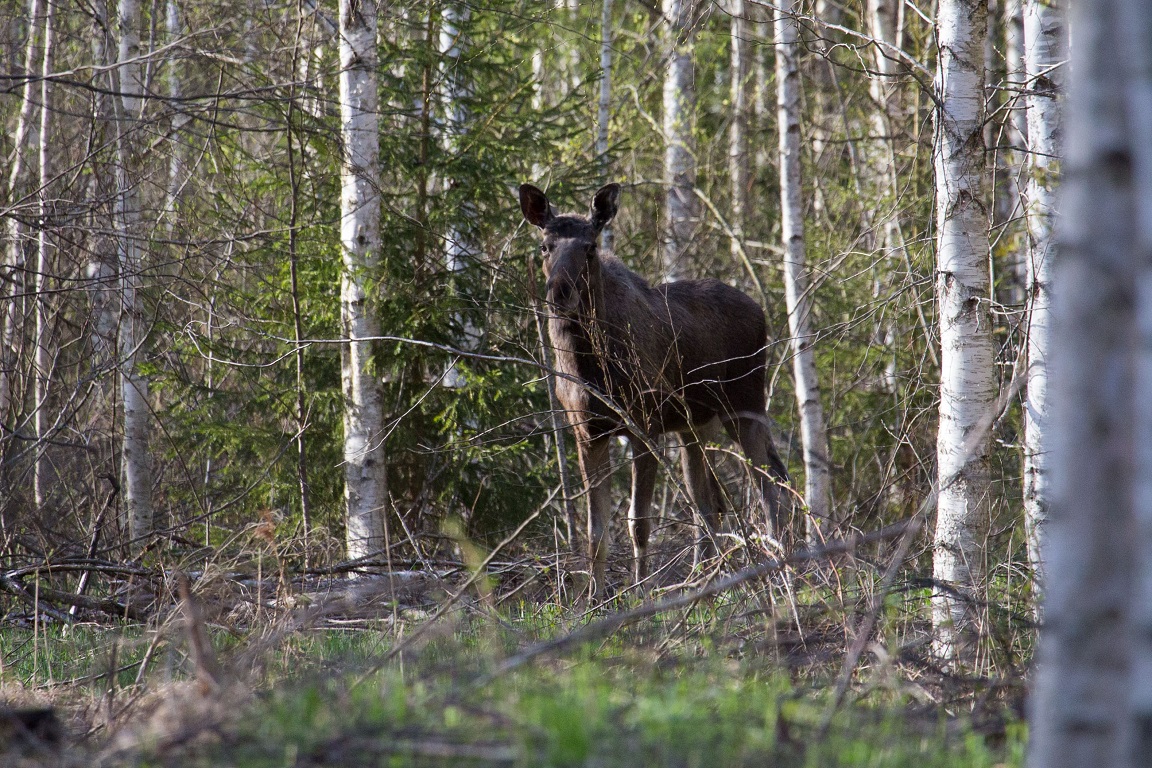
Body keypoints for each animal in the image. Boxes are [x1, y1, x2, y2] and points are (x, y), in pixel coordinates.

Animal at [523, 181, 792, 594]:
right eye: (545, 246)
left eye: (590, 246)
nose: (560, 292)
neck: (586, 363)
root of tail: (761, 310)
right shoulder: (587, 432)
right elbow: (595, 531)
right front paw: (594, 599)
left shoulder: (643, 426)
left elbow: (638, 522)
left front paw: (640, 593)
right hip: (696, 425)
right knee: (710, 503)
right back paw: (704, 580)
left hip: (744, 406)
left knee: (770, 486)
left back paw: (781, 571)